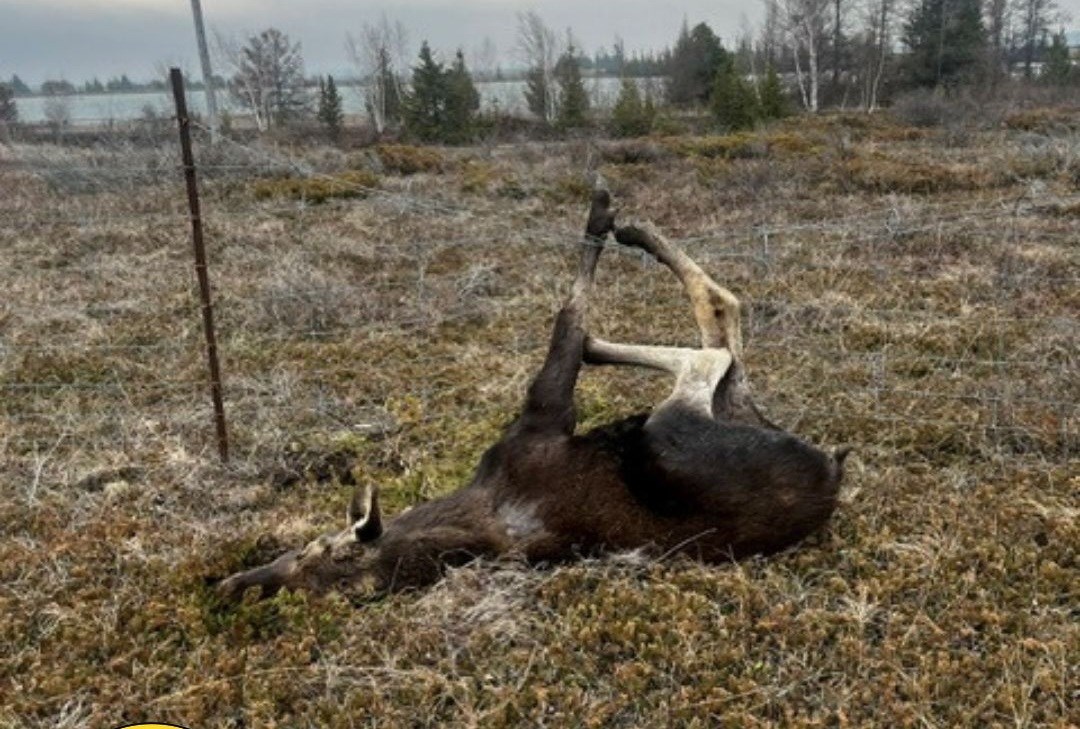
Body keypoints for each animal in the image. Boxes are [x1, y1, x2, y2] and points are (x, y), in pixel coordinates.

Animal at [217, 190, 848, 602]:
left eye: (308, 550)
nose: (237, 583)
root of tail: (833, 467)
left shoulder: (537, 422)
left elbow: (565, 320)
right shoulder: (542, 420)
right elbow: (567, 323)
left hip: (690, 426)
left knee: (718, 339)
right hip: (670, 433)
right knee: (717, 336)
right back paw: (627, 248)